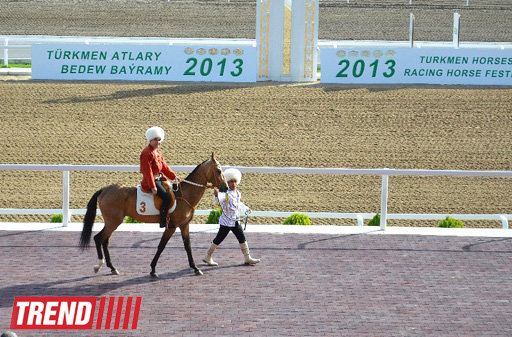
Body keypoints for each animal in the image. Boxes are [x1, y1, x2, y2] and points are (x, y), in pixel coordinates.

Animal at [78, 154, 226, 276]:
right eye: (218, 171)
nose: (225, 187)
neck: (184, 194)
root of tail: (104, 190)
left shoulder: (184, 226)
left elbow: (187, 246)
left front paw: (195, 268)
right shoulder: (171, 227)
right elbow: (161, 246)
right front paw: (153, 269)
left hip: (112, 222)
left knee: (105, 241)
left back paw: (112, 267)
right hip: (113, 222)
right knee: (98, 238)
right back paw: (99, 265)